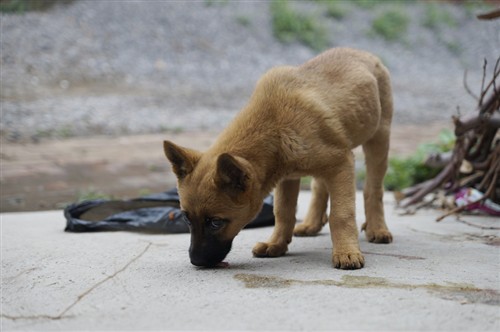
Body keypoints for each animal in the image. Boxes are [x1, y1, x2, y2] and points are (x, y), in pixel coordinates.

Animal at [166, 47, 392, 270]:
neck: (274, 125)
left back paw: (377, 228)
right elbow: (283, 212)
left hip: (379, 141)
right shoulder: (289, 177)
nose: (196, 261)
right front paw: (276, 244)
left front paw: (346, 252)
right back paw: (311, 224)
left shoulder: (341, 164)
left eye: (215, 222)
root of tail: (362, 53)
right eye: (186, 217)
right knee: (320, 186)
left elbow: (341, 215)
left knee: (373, 190)